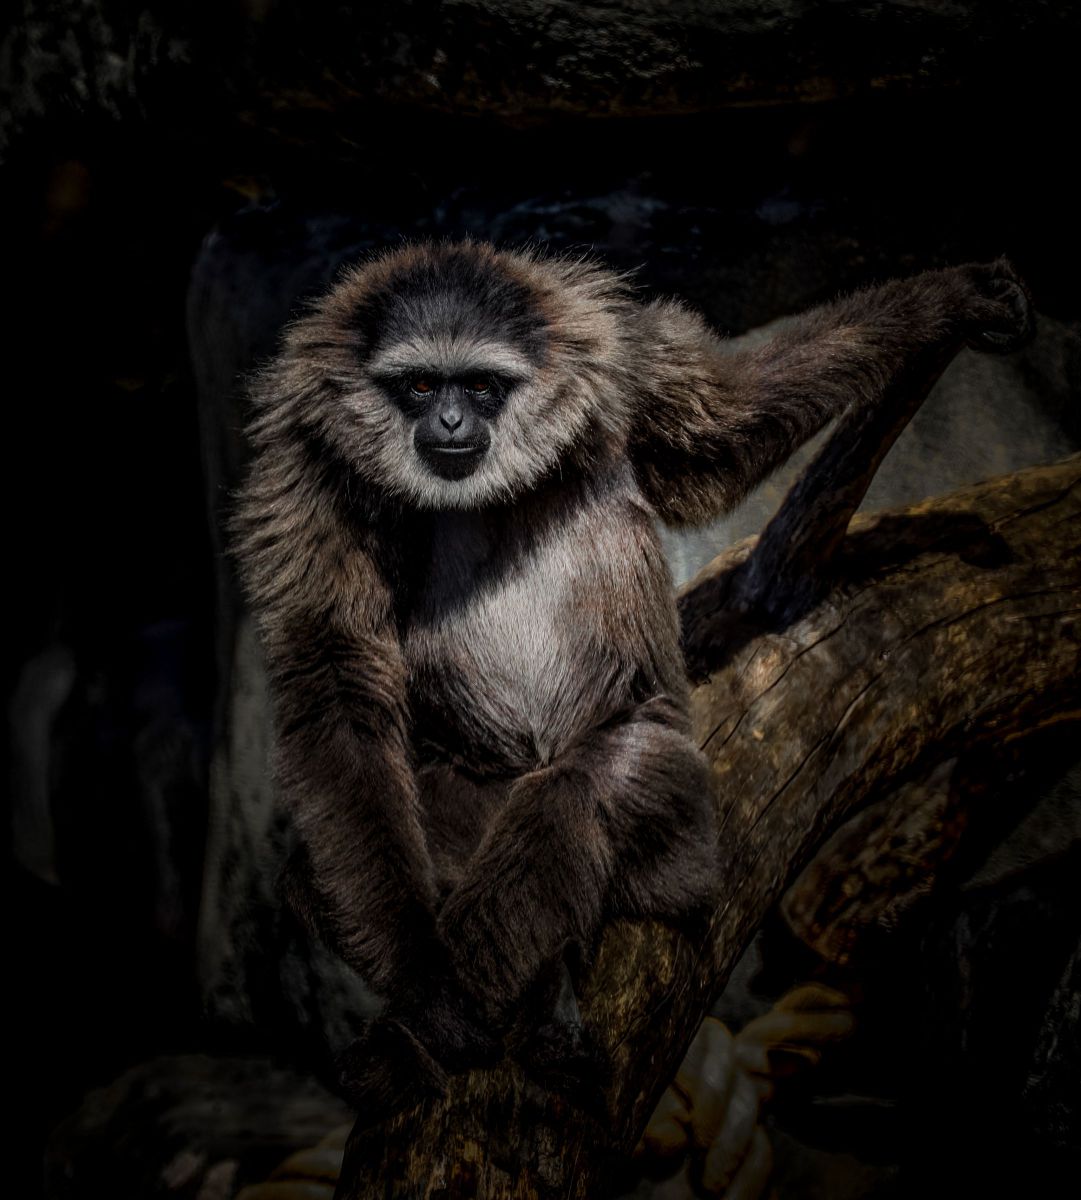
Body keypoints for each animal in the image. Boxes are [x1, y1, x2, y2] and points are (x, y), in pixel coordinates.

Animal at [231, 240, 1032, 1120]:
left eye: (479, 386)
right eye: (418, 387)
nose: (449, 423)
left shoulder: (622, 354)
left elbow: (724, 427)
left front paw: (942, 303)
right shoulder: (306, 454)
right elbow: (334, 679)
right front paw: (428, 988)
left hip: (681, 835)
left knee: (588, 789)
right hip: (472, 792)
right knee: (321, 871)